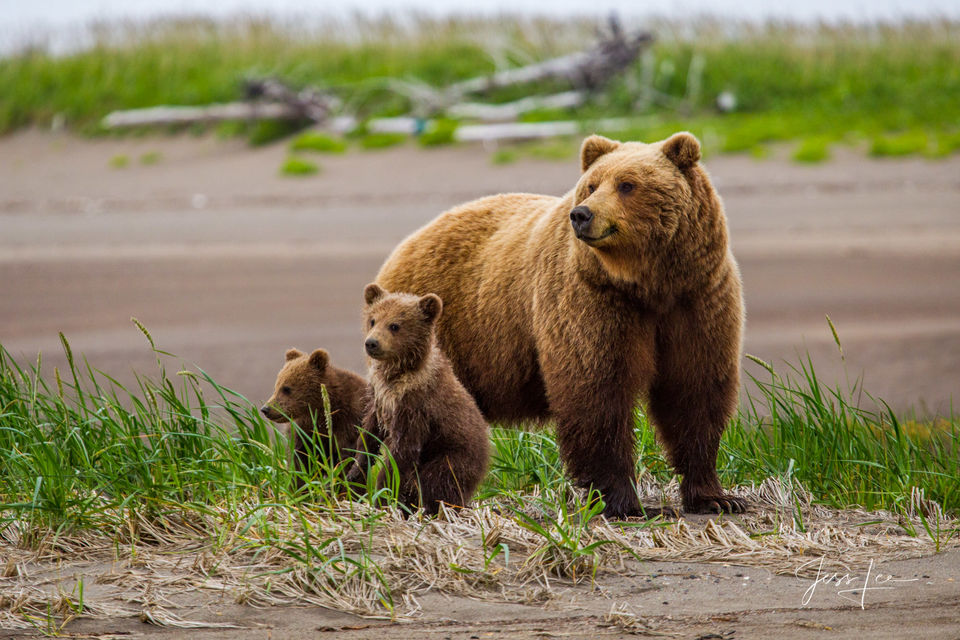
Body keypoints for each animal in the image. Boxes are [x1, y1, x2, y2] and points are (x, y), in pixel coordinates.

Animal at [346, 283, 490, 515]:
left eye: (395, 325)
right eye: (373, 320)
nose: (372, 343)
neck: (398, 375)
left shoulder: (415, 408)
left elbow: (401, 453)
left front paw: (382, 494)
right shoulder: (379, 398)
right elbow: (368, 434)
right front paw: (355, 471)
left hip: (451, 456)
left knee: (435, 482)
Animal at [375, 132, 747, 518]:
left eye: (627, 184)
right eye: (592, 185)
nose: (582, 214)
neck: (647, 285)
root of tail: (405, 246)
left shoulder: (697, 299)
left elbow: (694, 389)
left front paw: (716, 496)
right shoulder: (591, 299)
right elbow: (596, 390)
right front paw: (628, 503)